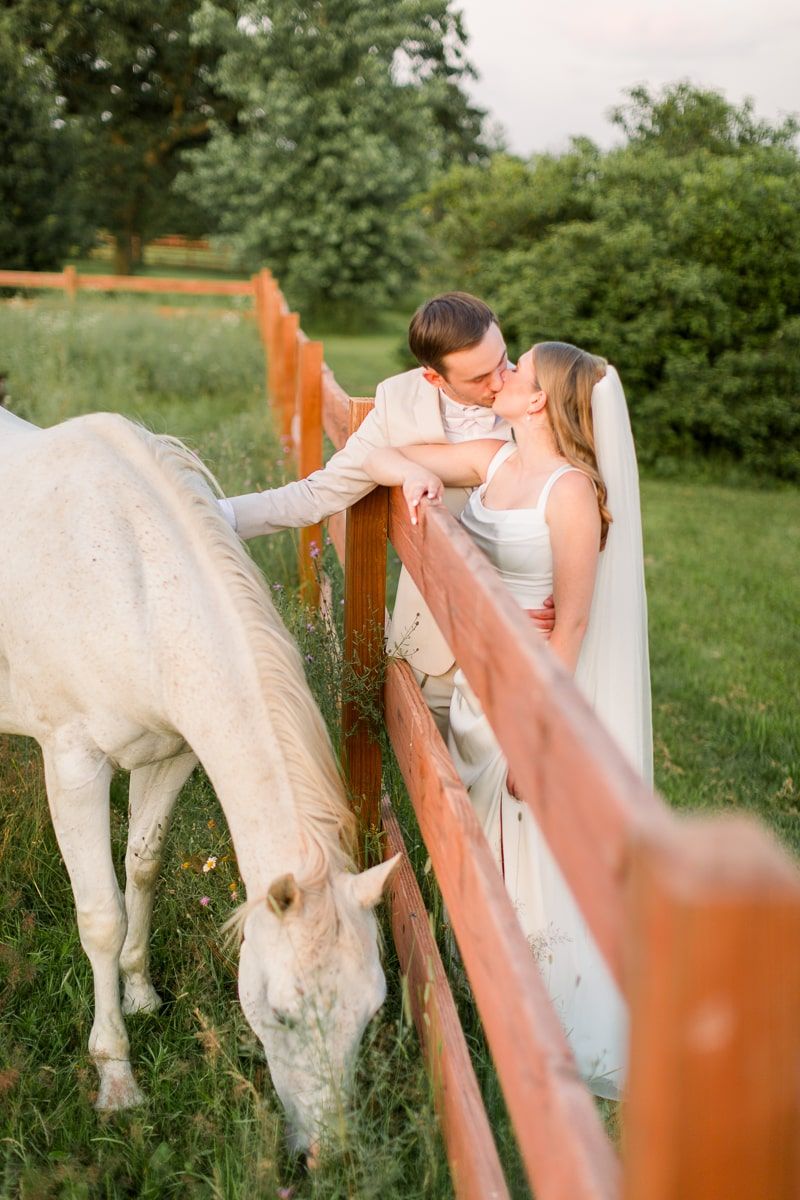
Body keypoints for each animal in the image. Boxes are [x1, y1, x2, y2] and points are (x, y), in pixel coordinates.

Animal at [0, 407, 399, 1160]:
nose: (329, 1155)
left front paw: (141, 995)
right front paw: (117, 1077)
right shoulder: (73, 765)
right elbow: (100, 916)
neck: (130, 587)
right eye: (281, 1014)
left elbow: (143, 866)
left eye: (371, 1012)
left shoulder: (173, 753)